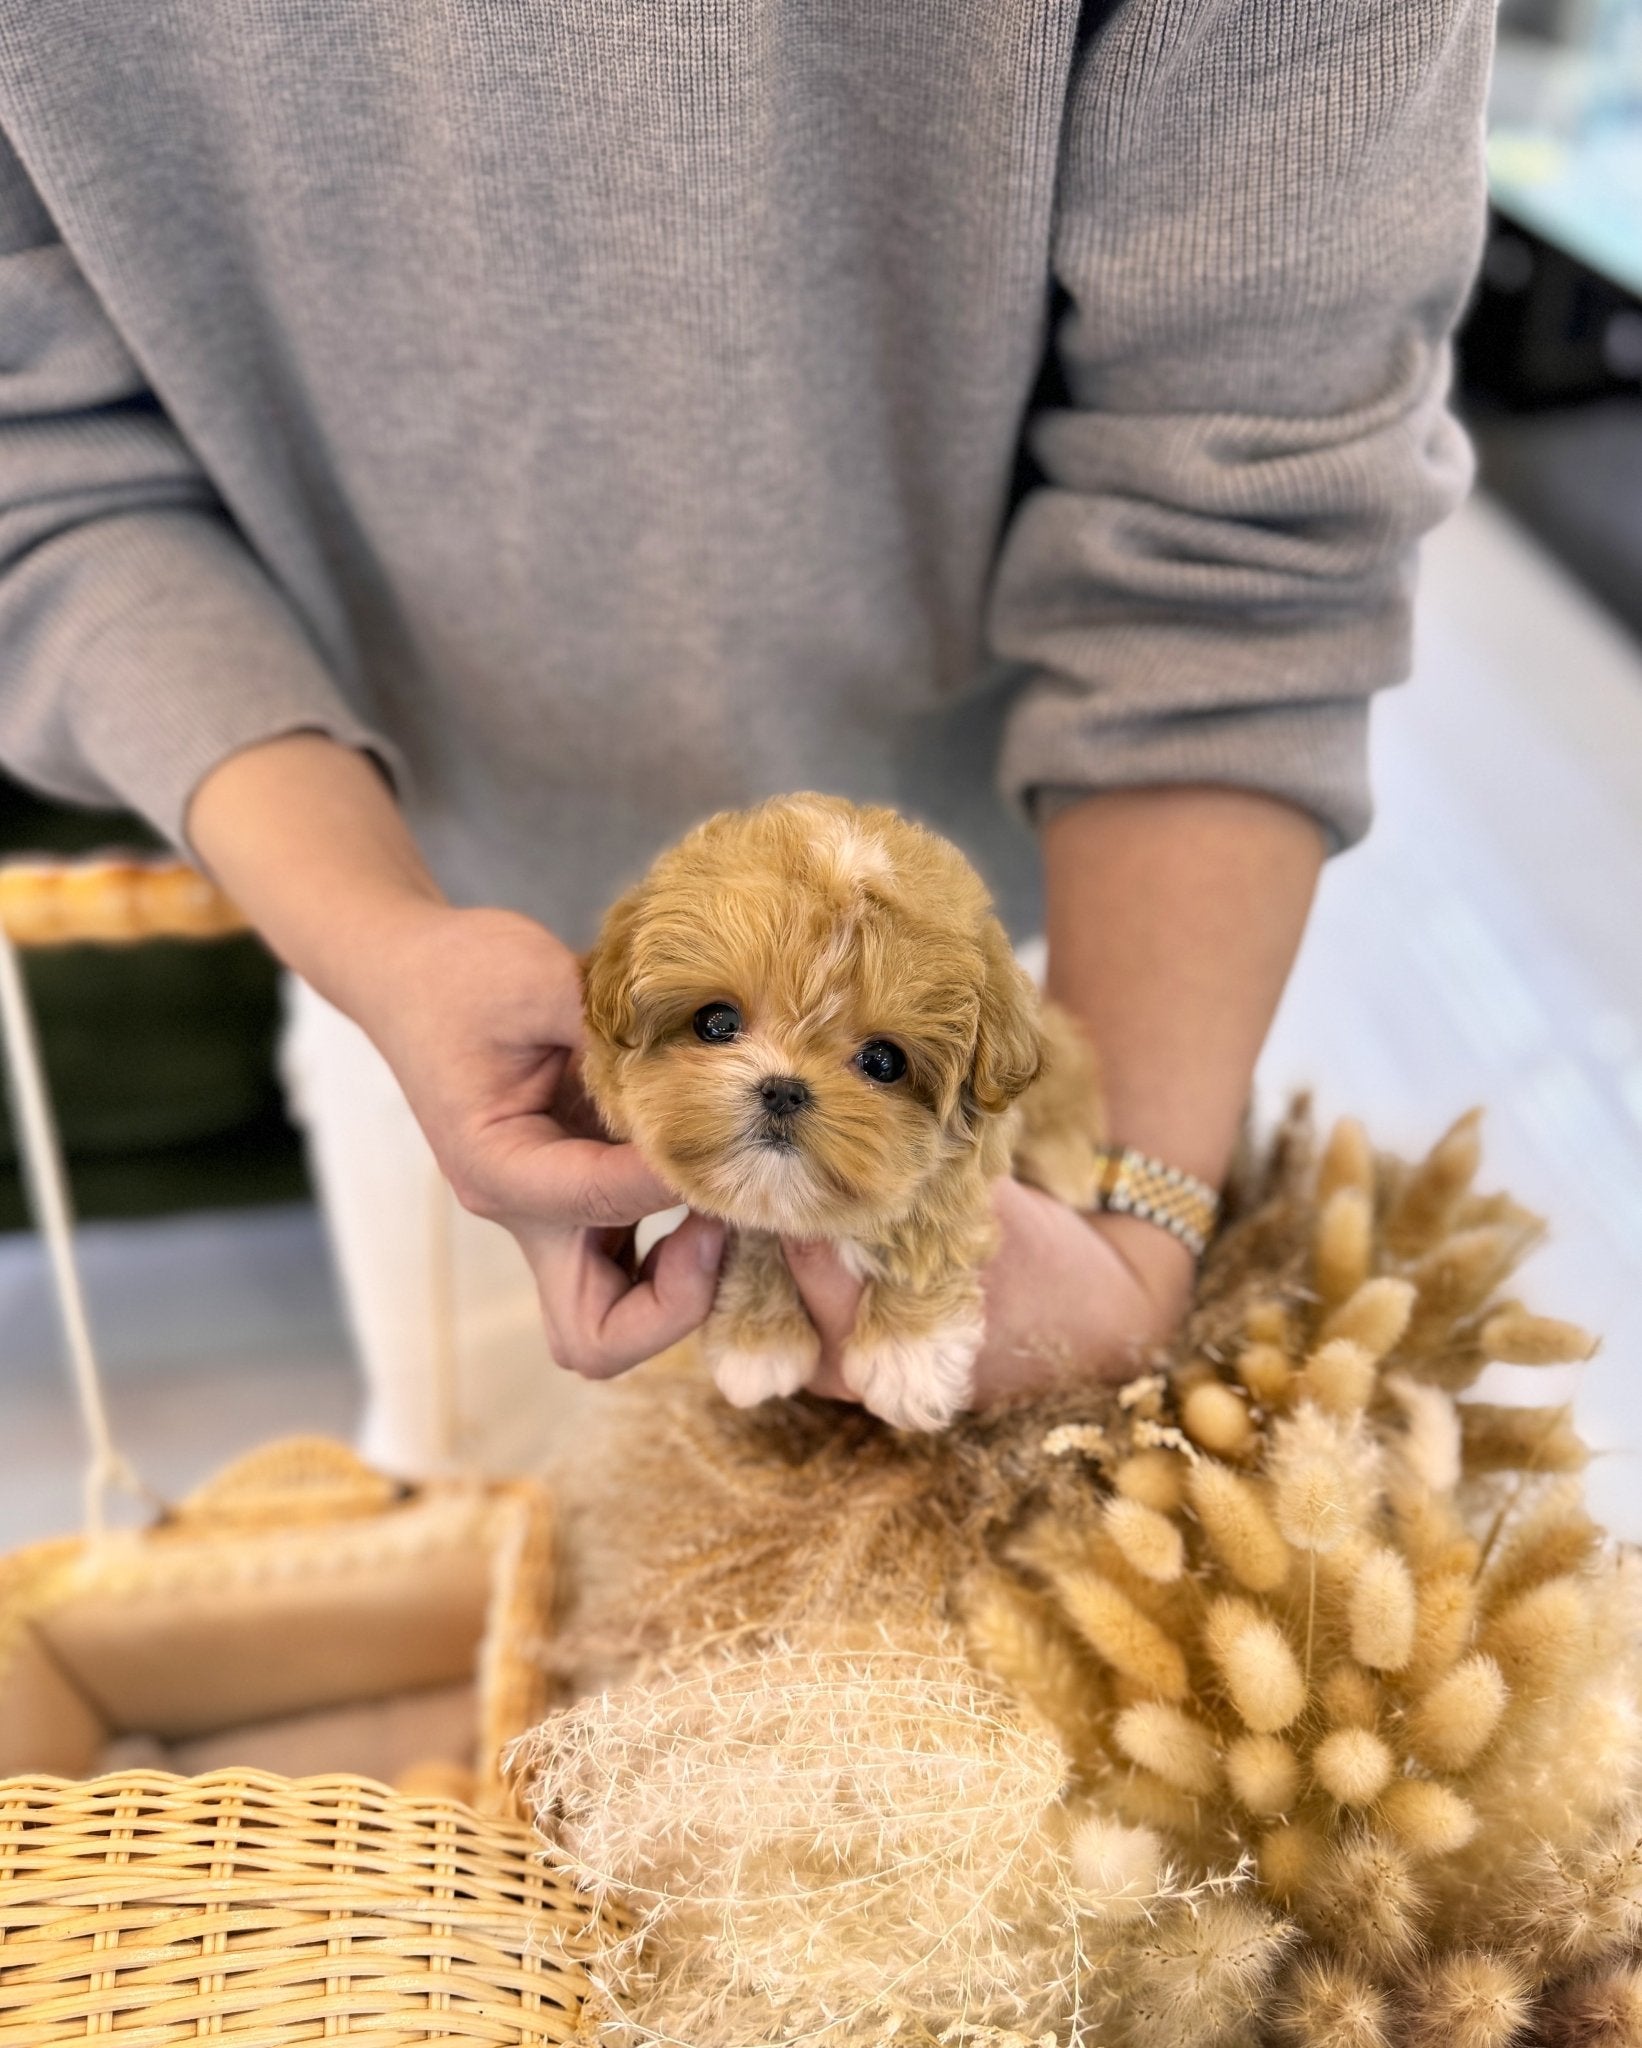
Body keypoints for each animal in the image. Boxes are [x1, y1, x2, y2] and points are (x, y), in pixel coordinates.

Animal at [577, 790, 1097, 1433]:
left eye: (883, 1061)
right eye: (716, 1022)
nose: (783, 1089)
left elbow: (932, 1217)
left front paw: (908, 1354)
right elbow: (754, 1226)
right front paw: (757, 1338)